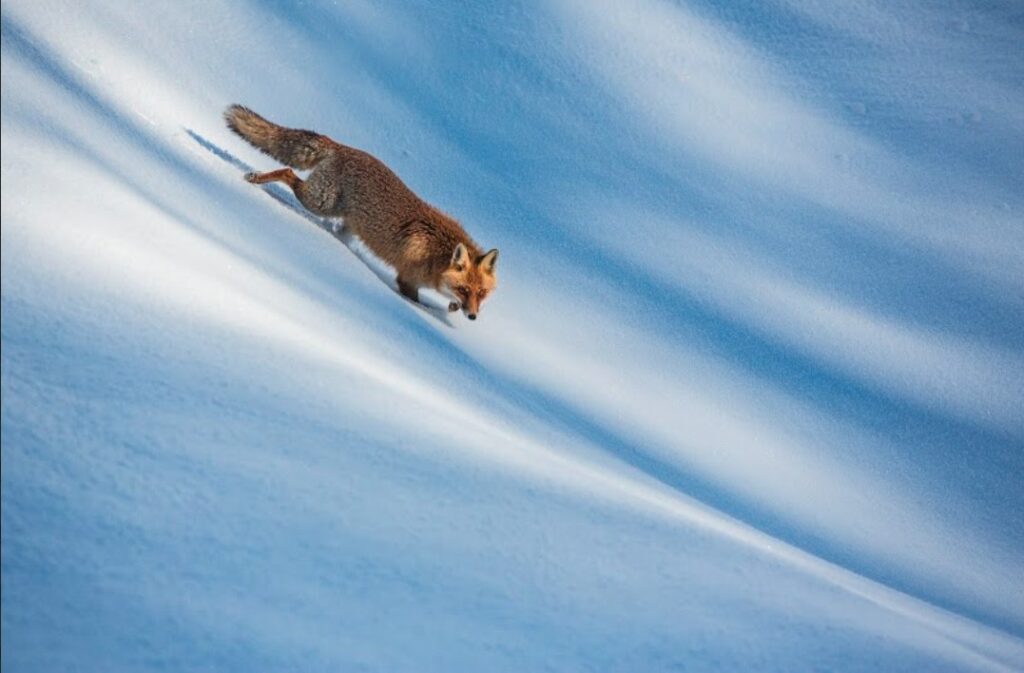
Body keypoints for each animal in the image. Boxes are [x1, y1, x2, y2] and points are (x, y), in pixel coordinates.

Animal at [225, 104, 499, 319]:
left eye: (481, 293)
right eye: (464, 290)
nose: (473, 316)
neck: (436, 254)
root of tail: (341, 146)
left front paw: (451, 308)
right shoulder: (406, 281)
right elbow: (420, 304)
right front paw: (437, 314)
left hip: (346, 221)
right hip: (320, 202)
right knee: (287, 172)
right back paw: (255, 178)